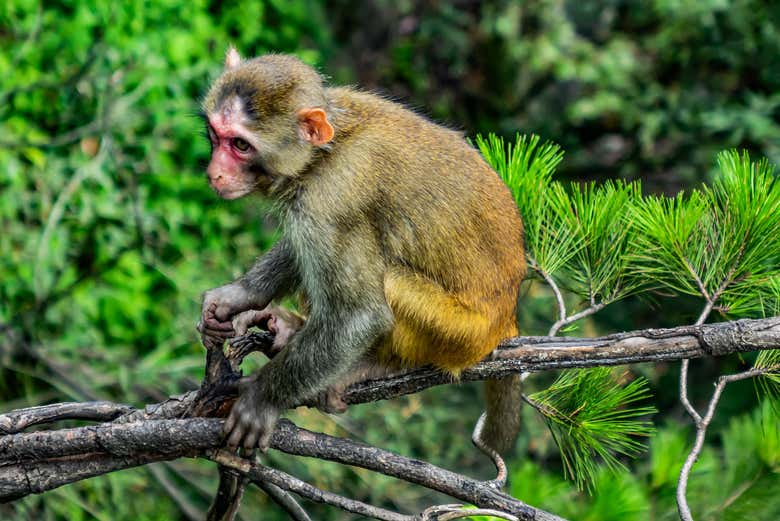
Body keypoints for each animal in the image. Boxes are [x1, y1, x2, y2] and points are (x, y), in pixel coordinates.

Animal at [198, 48, 528, 452]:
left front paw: (262, 400)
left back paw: (381, 364)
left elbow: (359, 316)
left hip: (460, 334)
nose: (213, 173)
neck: (324, 154)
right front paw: (238, 296)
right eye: (216, 135)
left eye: (241, 145)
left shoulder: (331, 199)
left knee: (386, 280)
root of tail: (506, 319)